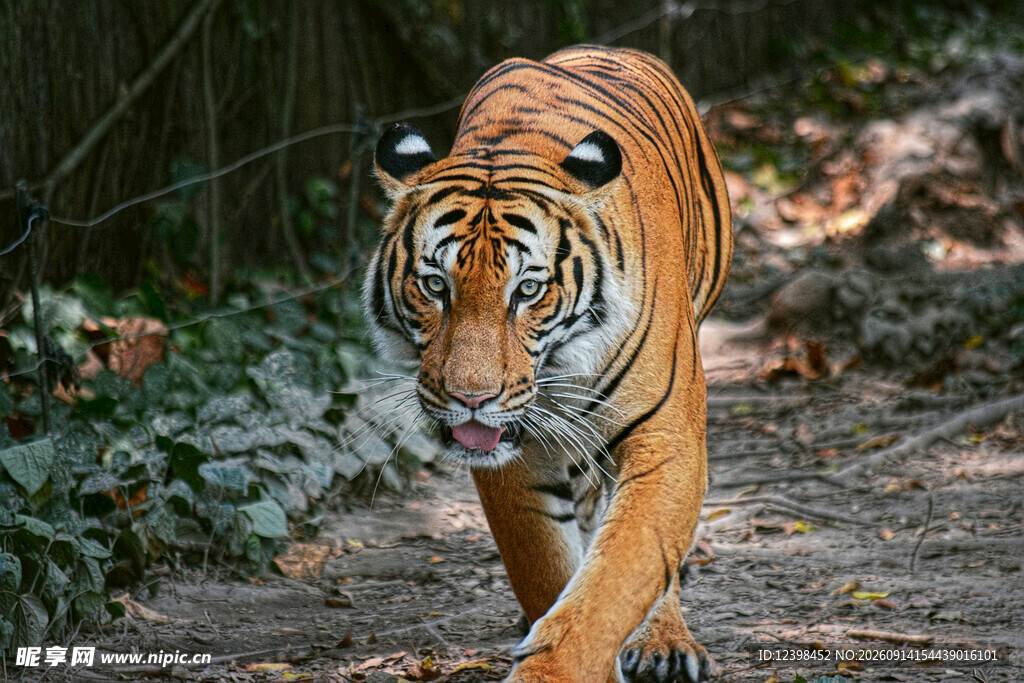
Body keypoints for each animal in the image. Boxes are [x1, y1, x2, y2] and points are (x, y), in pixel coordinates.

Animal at [364, 44, 732, 682]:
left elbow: (620, 574)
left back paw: (664, 643)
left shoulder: (665, 439)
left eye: (528, 290)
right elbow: (546, 569)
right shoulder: (513, 459)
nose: (471, 399)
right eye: (435, 286)